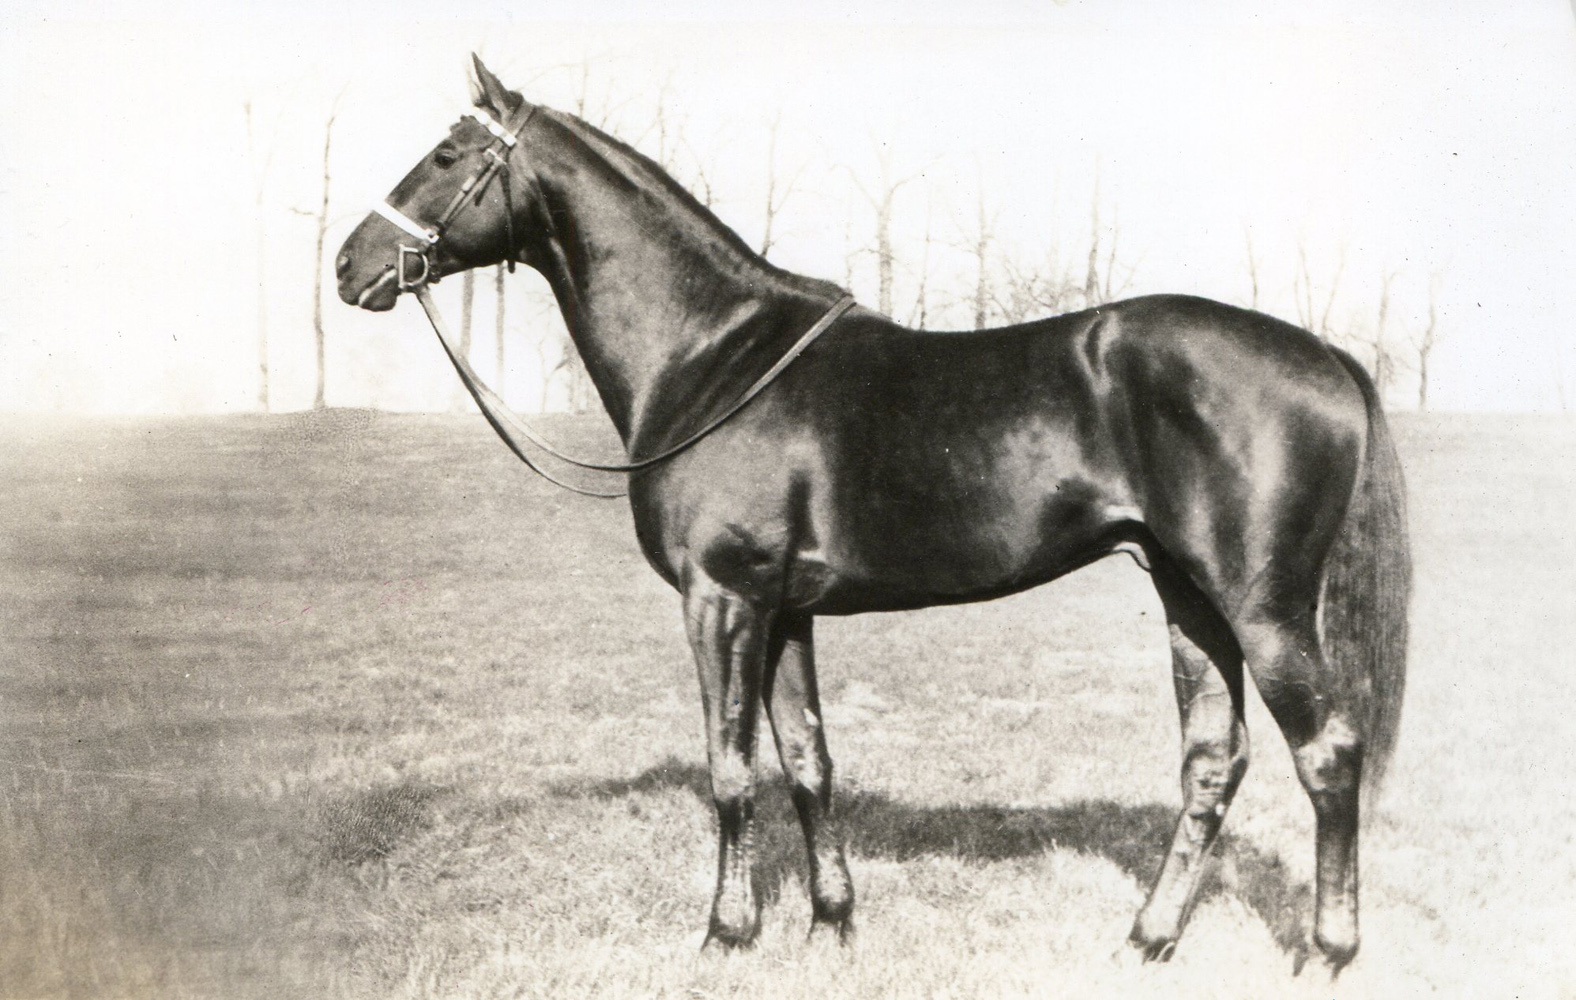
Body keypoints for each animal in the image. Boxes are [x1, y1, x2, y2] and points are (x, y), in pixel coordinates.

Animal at [335, 58, 1418, 976]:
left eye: (447, 155)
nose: (350, 265)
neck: (712, 354)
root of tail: (1328, 357)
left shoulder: (720, 599)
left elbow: (731, 769)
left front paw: (727, 934)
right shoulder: (783, 610)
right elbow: (808, 762)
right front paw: (831, 923)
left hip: (1262, 610)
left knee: (1327, 755)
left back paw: (1327, 953)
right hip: (1190, 599)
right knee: (1210, 764)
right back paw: (1145, 939)